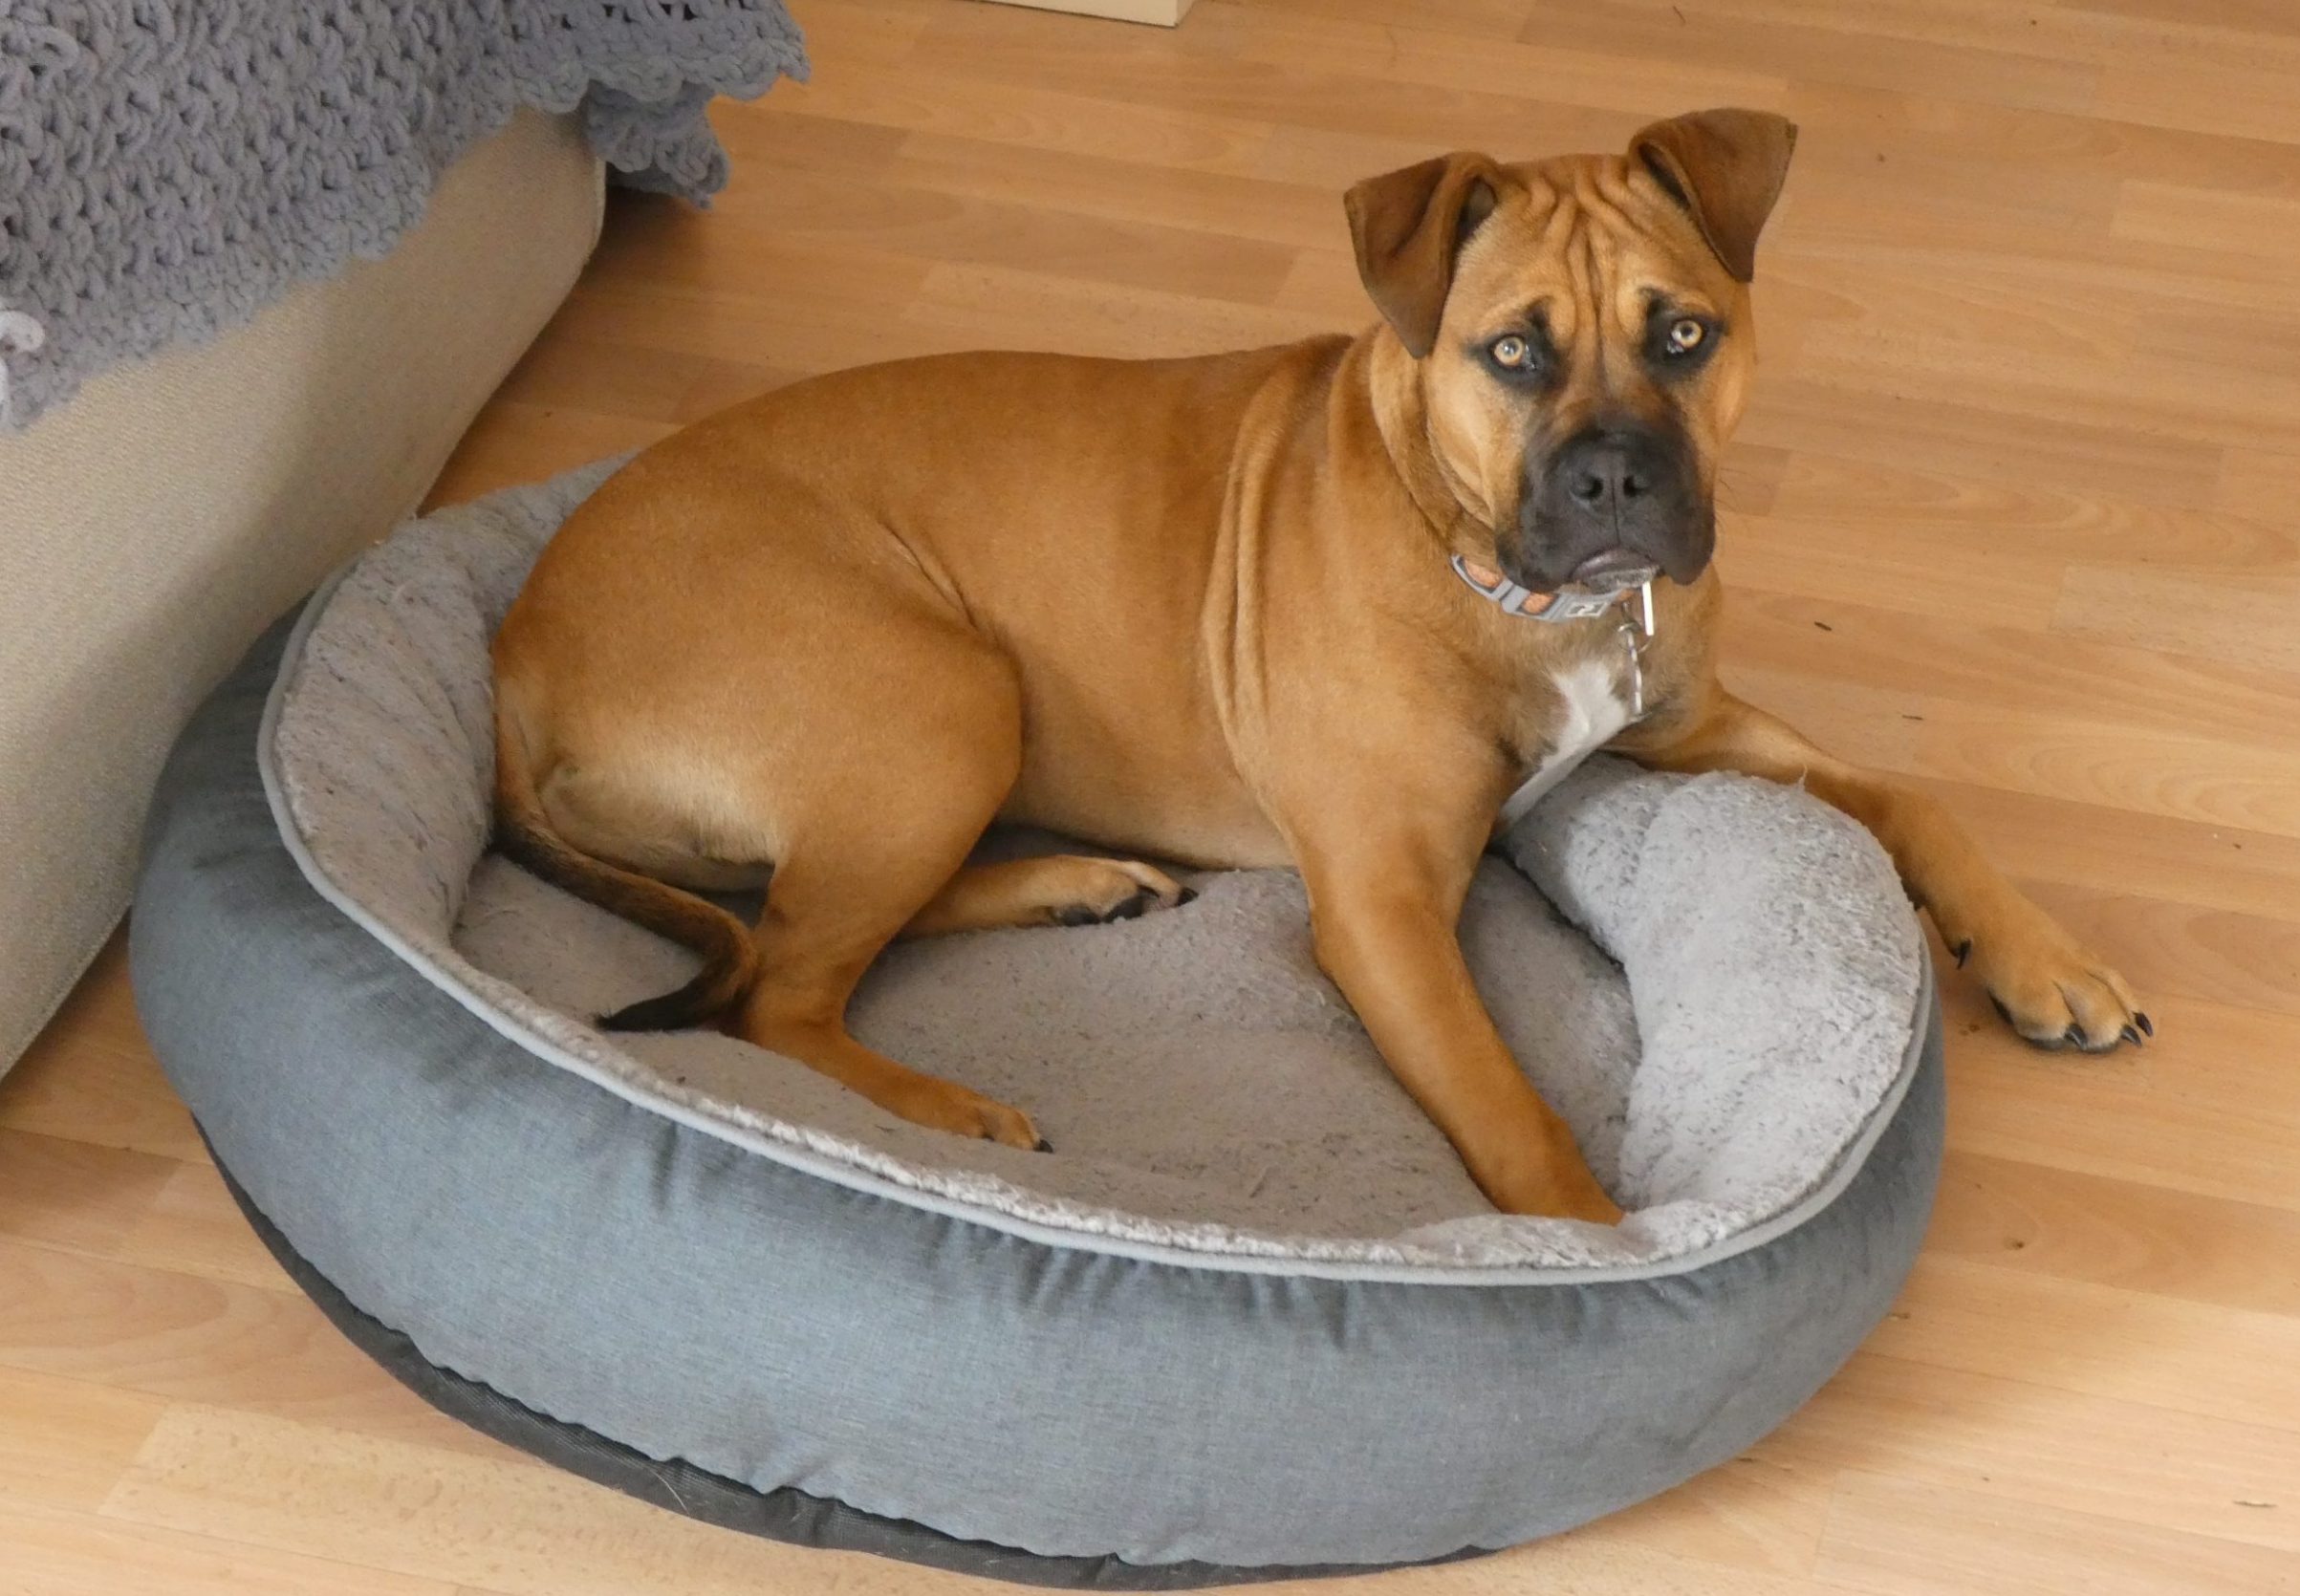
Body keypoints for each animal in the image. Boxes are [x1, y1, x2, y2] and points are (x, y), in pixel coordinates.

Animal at [494, 112, 2143, 1223]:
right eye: (1511, 353)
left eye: (1683, 334)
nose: (1615, 481)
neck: (1487, 561)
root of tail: (518, 651)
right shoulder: (1384, 906)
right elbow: (1507, 1108)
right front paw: (1586, 1254)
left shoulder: (1692, 724)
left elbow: (1914, 795)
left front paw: (2046, 959)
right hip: (938, 699)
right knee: (780, 992)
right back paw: (951, 1108)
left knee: (802, 923)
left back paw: (1075, 883)